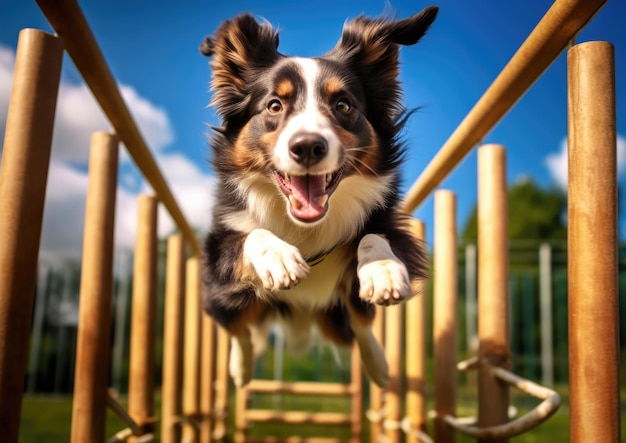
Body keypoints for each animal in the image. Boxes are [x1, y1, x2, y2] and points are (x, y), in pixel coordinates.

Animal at [199, 6, 434, 388]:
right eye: (274, 105)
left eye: (343, 105)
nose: (308, 146)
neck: (304, 227)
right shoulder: (216, 249)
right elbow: (252, 235)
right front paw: (278, 257)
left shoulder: (387, 221)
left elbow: (373, 236)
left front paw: (382, 268)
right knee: (238, 327)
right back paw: (242, 369)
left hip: (337, 316)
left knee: (359, 325)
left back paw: (379, 365)